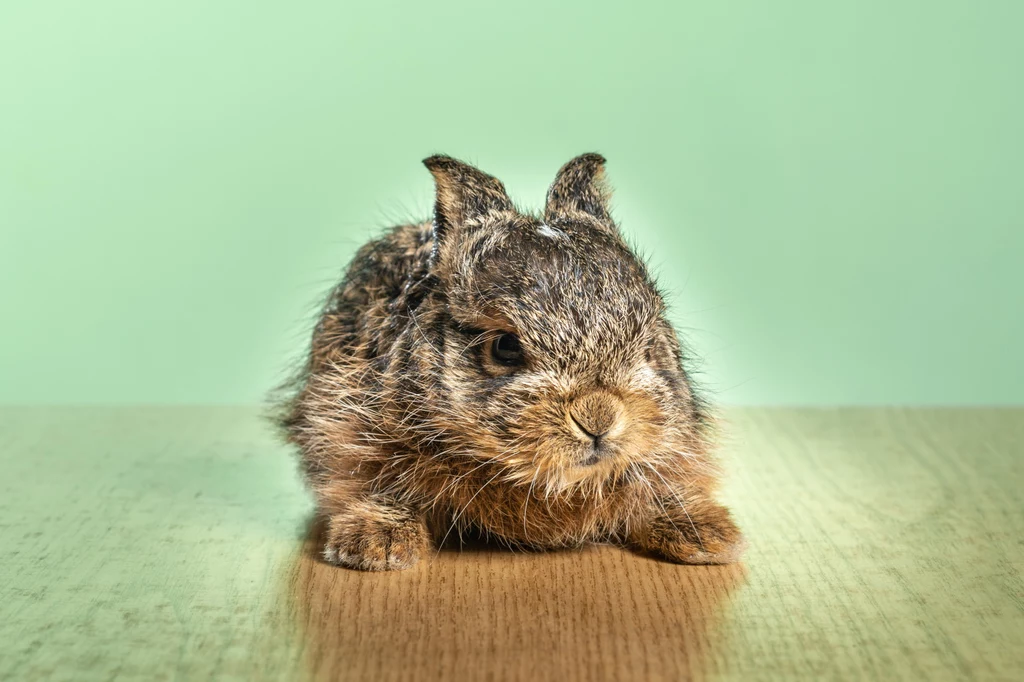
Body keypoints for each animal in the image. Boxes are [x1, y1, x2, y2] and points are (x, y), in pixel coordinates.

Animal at [280, 152, 745, 569]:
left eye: (648, 344)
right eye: (504, 347)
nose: (598, 416)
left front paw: (709, 537)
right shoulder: (352, 434)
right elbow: (374, 488)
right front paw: (376, 545)